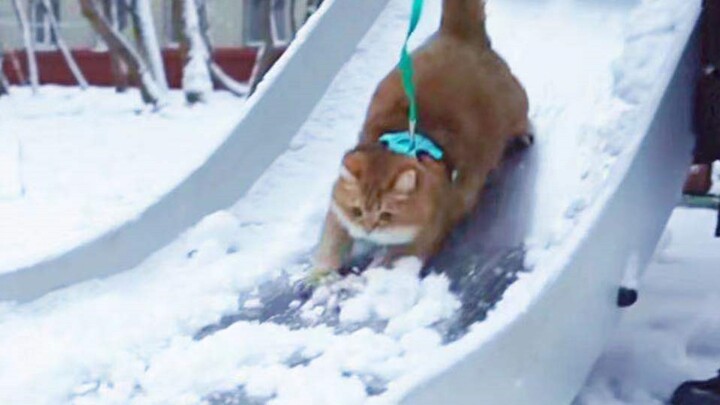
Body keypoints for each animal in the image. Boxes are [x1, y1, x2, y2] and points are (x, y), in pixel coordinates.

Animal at [310, 0, 528, 278]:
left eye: (386, 215)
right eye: (356, 210)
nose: (368, 229)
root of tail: (458, 33)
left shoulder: (426, 233)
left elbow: (391, 261)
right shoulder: (337, 213)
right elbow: (332, 241)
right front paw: (322, 272)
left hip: (516, 104)